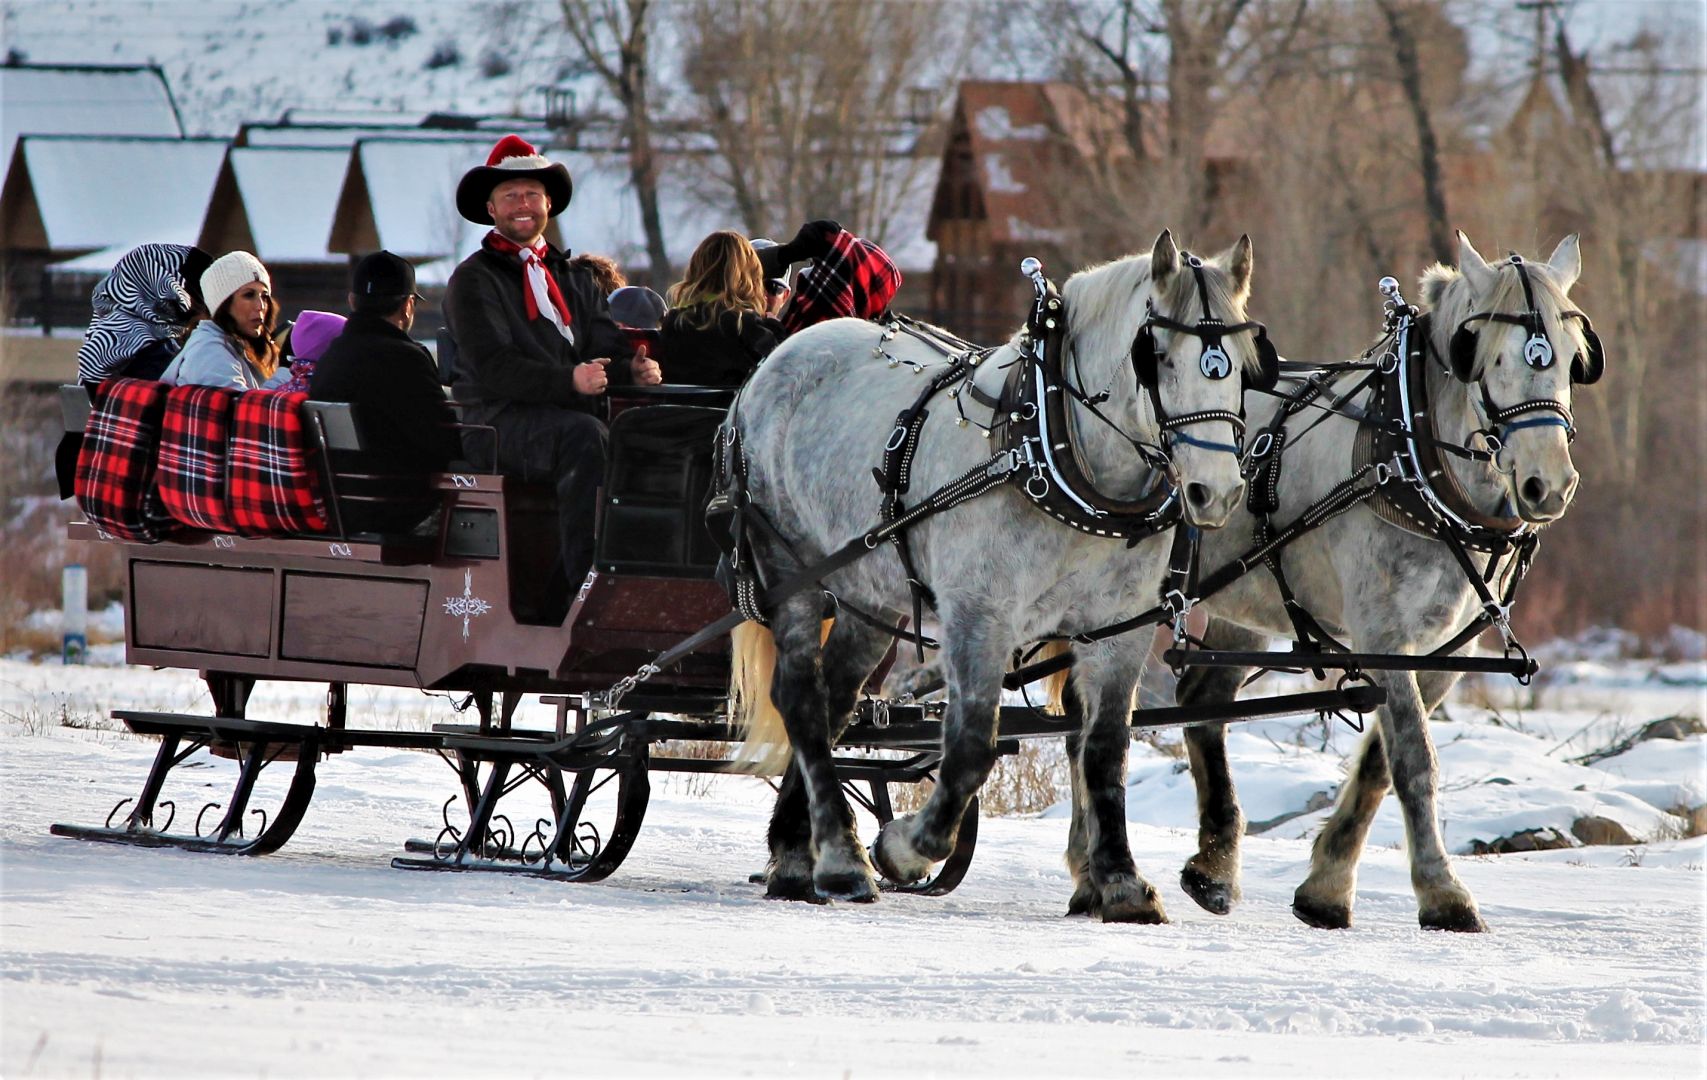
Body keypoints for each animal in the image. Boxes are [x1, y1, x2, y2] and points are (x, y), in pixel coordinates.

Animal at [730, 232, 1270, 914]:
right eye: (1158, 358)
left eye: (1245, 365)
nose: (1215, 491)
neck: (1052, 451)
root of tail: (779, 359)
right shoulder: (978, 616)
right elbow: (968, 749)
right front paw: (905, 849)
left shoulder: (1119, 629)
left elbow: (1105, 750)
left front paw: (1121, 880)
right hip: (790, 564)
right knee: (801, 697)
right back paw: (843, 858)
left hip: (868, 593)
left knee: (835, 700)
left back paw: (798, 853)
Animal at [1065, 232, 1597, 928]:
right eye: (1490, 355)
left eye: (1572, 358)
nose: (1547, 484)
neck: (1410, 457)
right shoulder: (1385, 634)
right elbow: (1414, 758)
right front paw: (1444, 892)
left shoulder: (1445, 650)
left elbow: (1378, 764)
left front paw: (1326, 885)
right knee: (1086, 716)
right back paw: (1093, 868)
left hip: (1242, 605)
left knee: (1199, 701)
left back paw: (1211, 868)